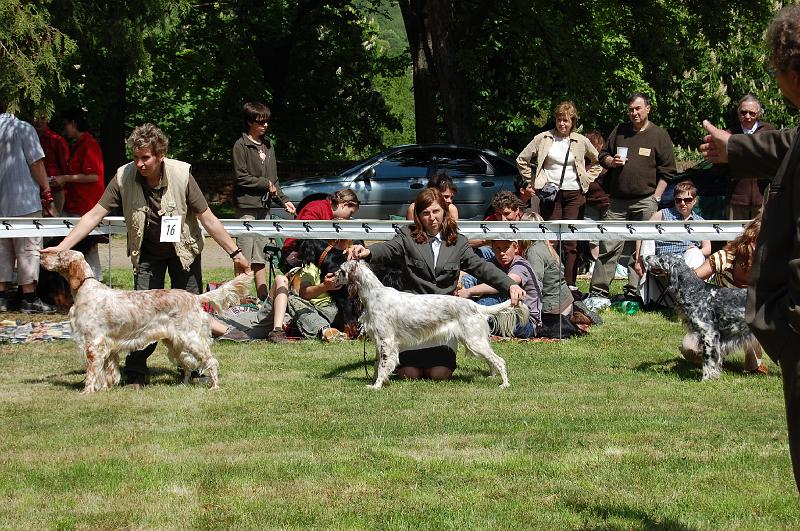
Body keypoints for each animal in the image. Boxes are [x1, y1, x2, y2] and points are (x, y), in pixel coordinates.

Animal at [40, 250, 252, 394]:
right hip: (176, 342)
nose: (41, 255)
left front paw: (86, 392)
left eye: (59, 255)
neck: (85, 289)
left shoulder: (93, 342)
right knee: (187, 364)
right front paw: (106, 388)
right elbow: (108, 370)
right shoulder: (107, 345)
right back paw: (183, 385)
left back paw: (214, 386)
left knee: (211, 361)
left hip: (191, 339)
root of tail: (195, 297)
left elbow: (92, 371)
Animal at [334, 260, 528, 388]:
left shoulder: (386, 341)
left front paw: (376, 386)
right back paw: (491, 377)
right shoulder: (379, 341)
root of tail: (475, 305)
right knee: (491, 361)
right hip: (475, 342)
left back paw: (504, 384)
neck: (373, 293)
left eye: (341, 270)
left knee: (500, 361)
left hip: (474, 341)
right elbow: (377, 365)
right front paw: (375, 381)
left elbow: (382, 366)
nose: (331, 277)